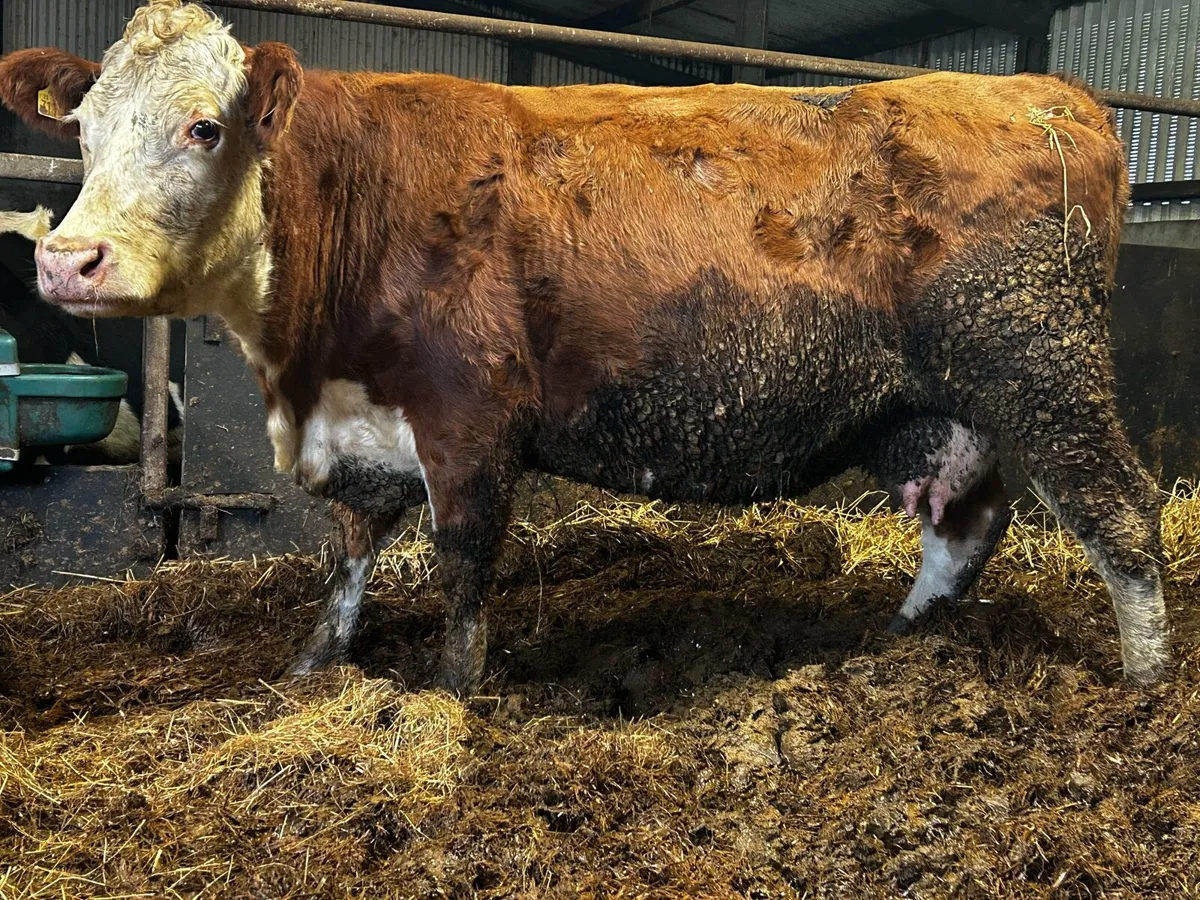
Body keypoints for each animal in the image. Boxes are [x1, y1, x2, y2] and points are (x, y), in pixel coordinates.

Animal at [0, 0, 1171, 693]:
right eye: (83, 130)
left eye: (205, 126)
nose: (67, 262)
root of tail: (1051, 97)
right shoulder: (360, 428)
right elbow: (348, 556)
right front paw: (309, 669)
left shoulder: (469, 418)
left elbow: (463, 564)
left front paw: (450, 695)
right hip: (932, 406)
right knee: (965, 521)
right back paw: (898, 642)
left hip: (1043, 367)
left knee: (1120, 512)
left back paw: (1146, 688)